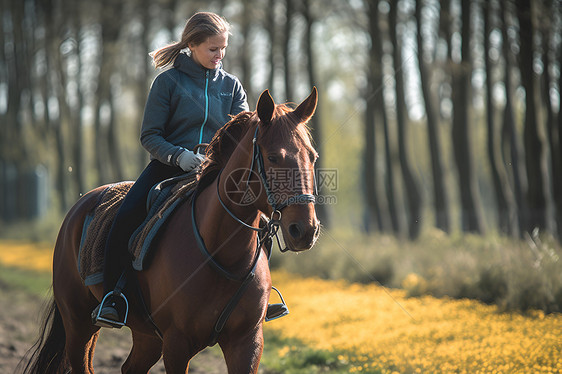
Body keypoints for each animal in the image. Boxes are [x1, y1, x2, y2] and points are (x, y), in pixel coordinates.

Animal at [23, 88, 320, 374]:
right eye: (273, 157)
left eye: (312, 157)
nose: (305, 230)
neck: (222, 254)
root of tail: (81, 204)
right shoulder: (177, 343)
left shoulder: (246, 342)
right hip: (78, 323)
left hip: (146, 335)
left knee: (130, 367)